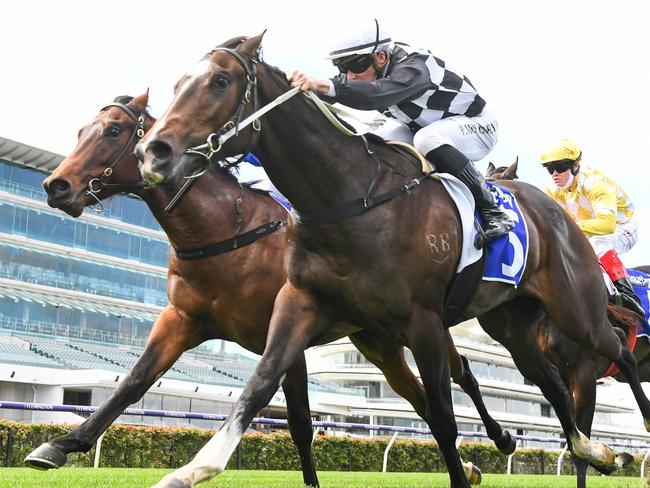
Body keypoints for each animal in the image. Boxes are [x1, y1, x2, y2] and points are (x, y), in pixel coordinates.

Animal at [24, 91, 512, 484]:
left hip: (417, 328)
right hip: (378, 344)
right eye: (82, 130)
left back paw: (501, 439)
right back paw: (470, 464)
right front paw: (59, 446)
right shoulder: (183, 320)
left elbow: (298, 423)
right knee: (424, 401)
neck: (223, 232)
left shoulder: (288, 336)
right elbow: (133, 381)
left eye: (113, 130)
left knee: (462, 374)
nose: (56, 185)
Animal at [135, 35, 648, 488]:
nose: (152, 151)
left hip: (576, 311)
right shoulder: (301, 302)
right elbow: (259, 383)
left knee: (618, 351)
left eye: (220, 81)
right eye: (178, 83)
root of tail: (558, 212)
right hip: (512, 326)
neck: (346, 197)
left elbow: (443, 418)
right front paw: (190, 470)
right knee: (553, 385)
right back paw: (595, 450)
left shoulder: (423, 322)